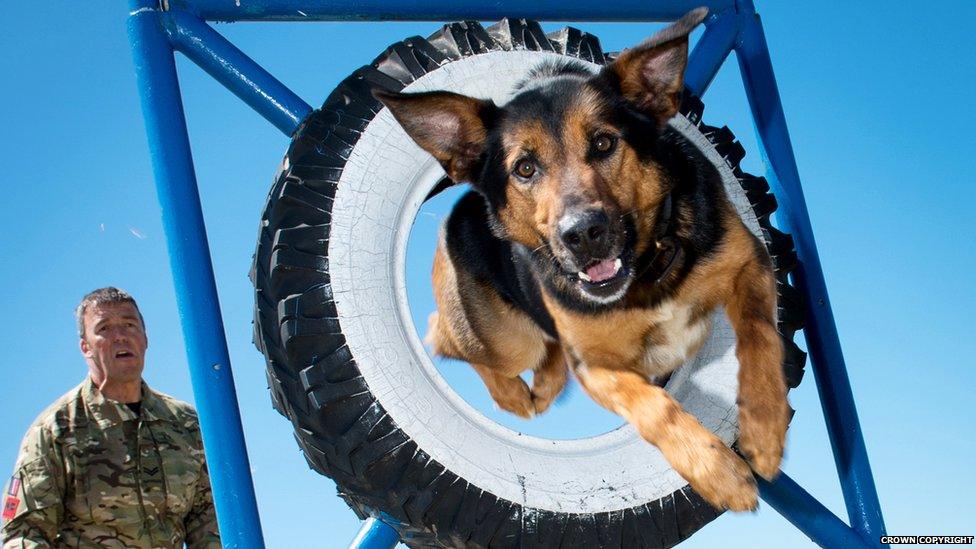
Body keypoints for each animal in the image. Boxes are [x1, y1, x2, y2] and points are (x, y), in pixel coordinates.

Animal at [378, 8, 788, 512]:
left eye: (604, 144)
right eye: (525, 168)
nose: (582, 235)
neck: (647, 274)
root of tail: (460, 208)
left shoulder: (750, 262)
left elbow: (760, 335)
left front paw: (764, 430)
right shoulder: (598, 366)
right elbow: (652, 405)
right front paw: (715, 470)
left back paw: (547, 382)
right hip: (504, 338)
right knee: (445, 337)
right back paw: (514, 394)